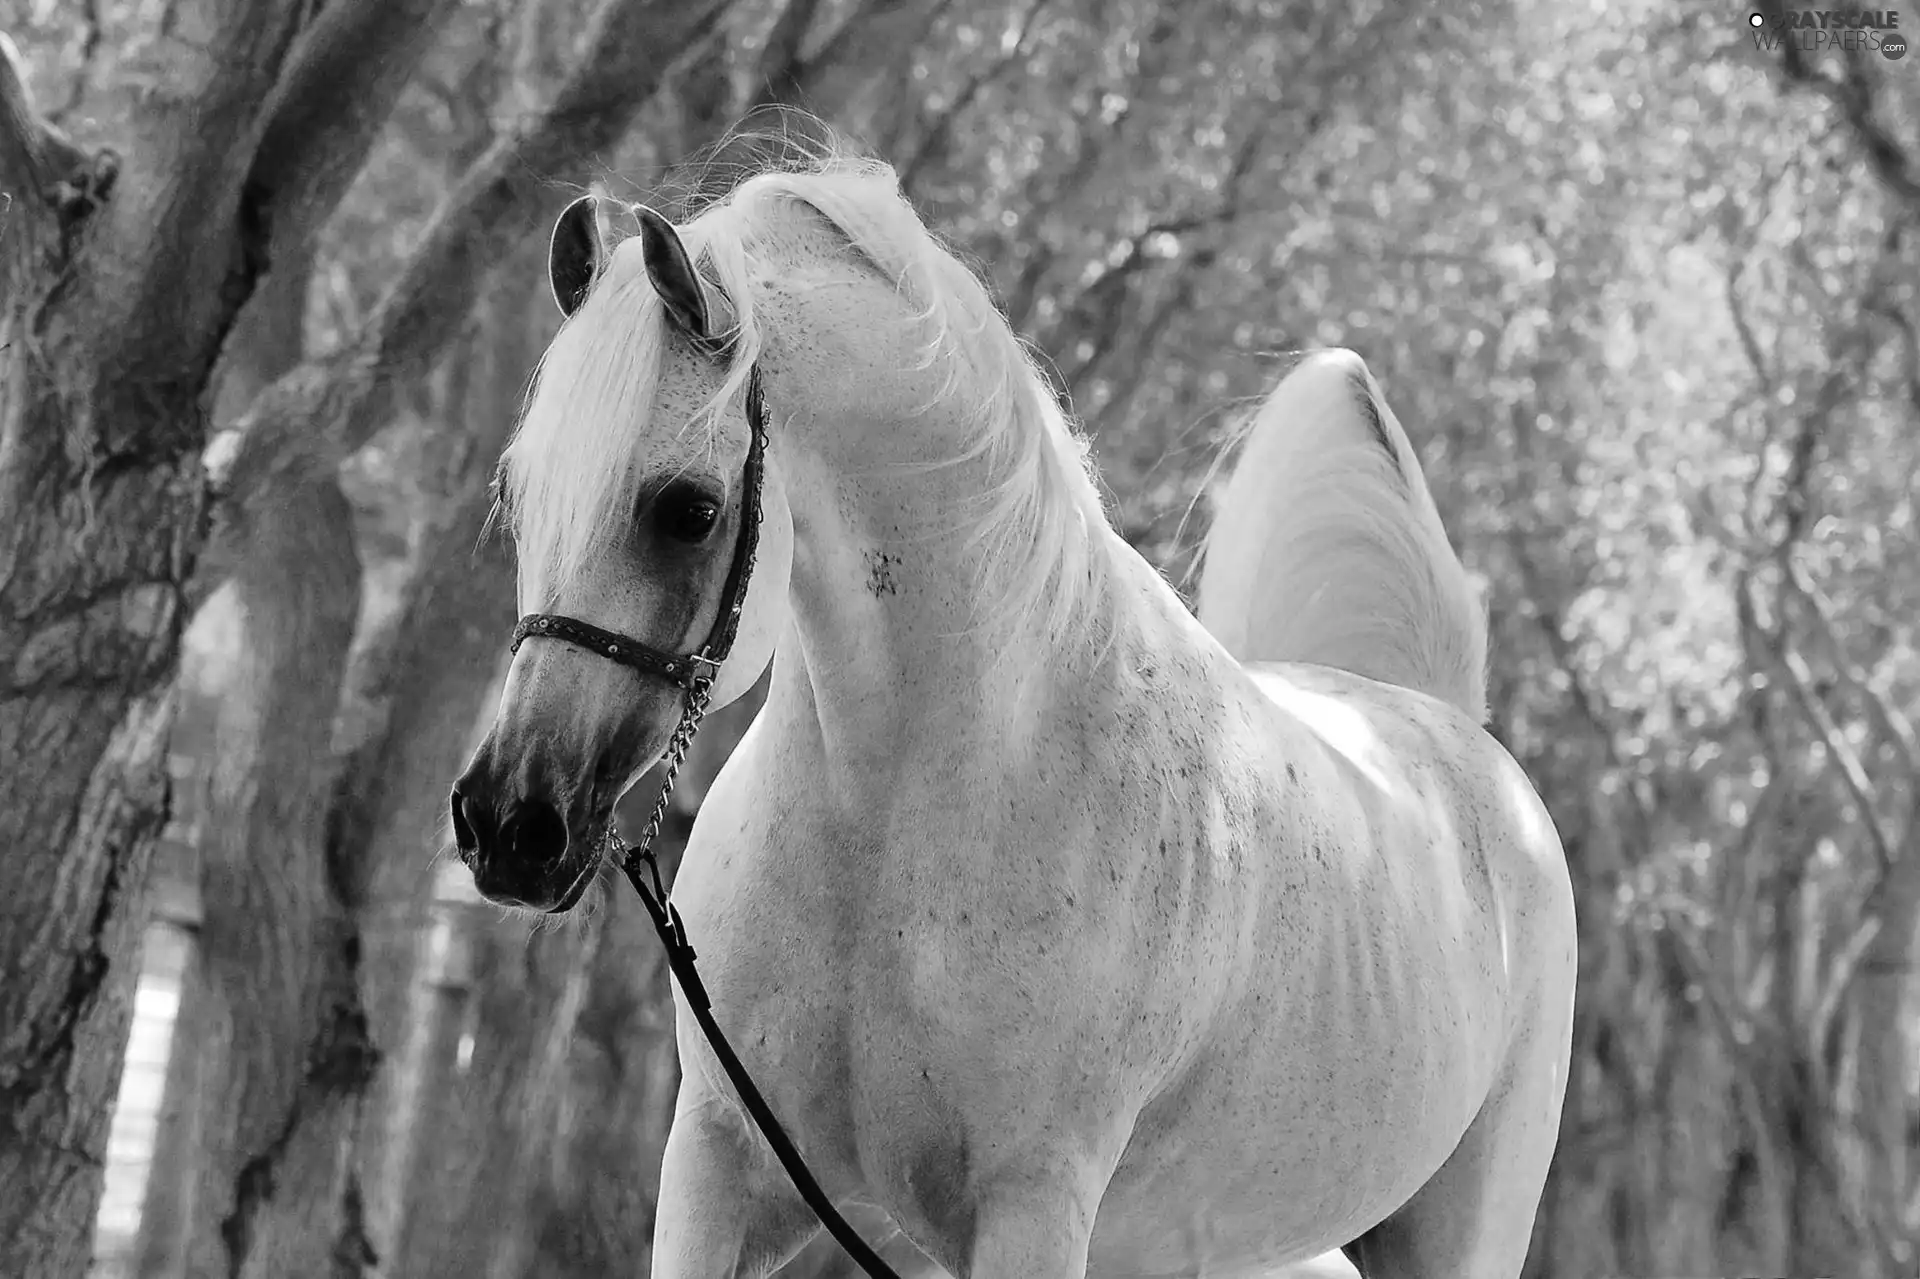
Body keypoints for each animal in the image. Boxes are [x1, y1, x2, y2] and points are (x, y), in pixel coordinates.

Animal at [453, 151, 1574, 1275]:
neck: (901, 818)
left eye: (687, 508)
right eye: (518, 494)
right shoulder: (720, 1162)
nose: (508, 824)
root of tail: (1452, 728)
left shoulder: (1034, 1205)